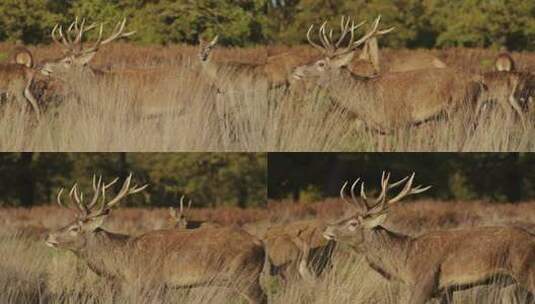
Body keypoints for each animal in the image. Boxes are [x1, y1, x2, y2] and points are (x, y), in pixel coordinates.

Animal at [46, 173, 268, 304]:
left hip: (245, 275)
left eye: (75, 228)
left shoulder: (154, 282)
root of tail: (261, 243)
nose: (49, 236)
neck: (125, 264)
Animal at [294, 16, 486, 133]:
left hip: (462, 109)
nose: (296, 70)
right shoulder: (376, 129)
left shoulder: (402, 122)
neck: (365, 99)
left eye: (321, 64)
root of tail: (480, 83)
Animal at [322, 172, 535, 302]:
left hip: (526, 272)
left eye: (353, 223)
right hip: (511, 284)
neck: (404, 261)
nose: (327, 228)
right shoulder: (444, 290)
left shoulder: (424, 282)